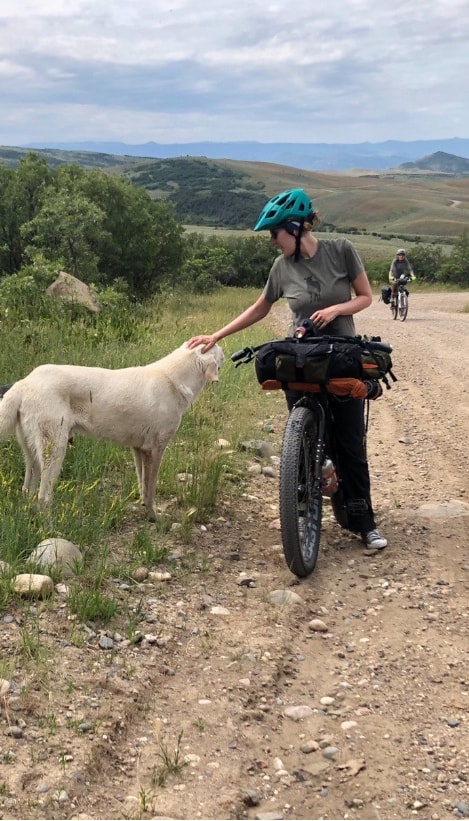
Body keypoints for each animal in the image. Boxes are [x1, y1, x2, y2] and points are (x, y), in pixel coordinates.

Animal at [0, 340, 225, 520]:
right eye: (216, 346)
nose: (225, 349)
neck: (173, 380)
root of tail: (24, 382)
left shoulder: (140, 450)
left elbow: (142, 486)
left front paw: (145, 511)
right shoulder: (156, 450)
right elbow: (151, 489)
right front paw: (155, 517)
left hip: (32, 453)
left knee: (27, 490)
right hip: (55, 450)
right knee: (43, 496)